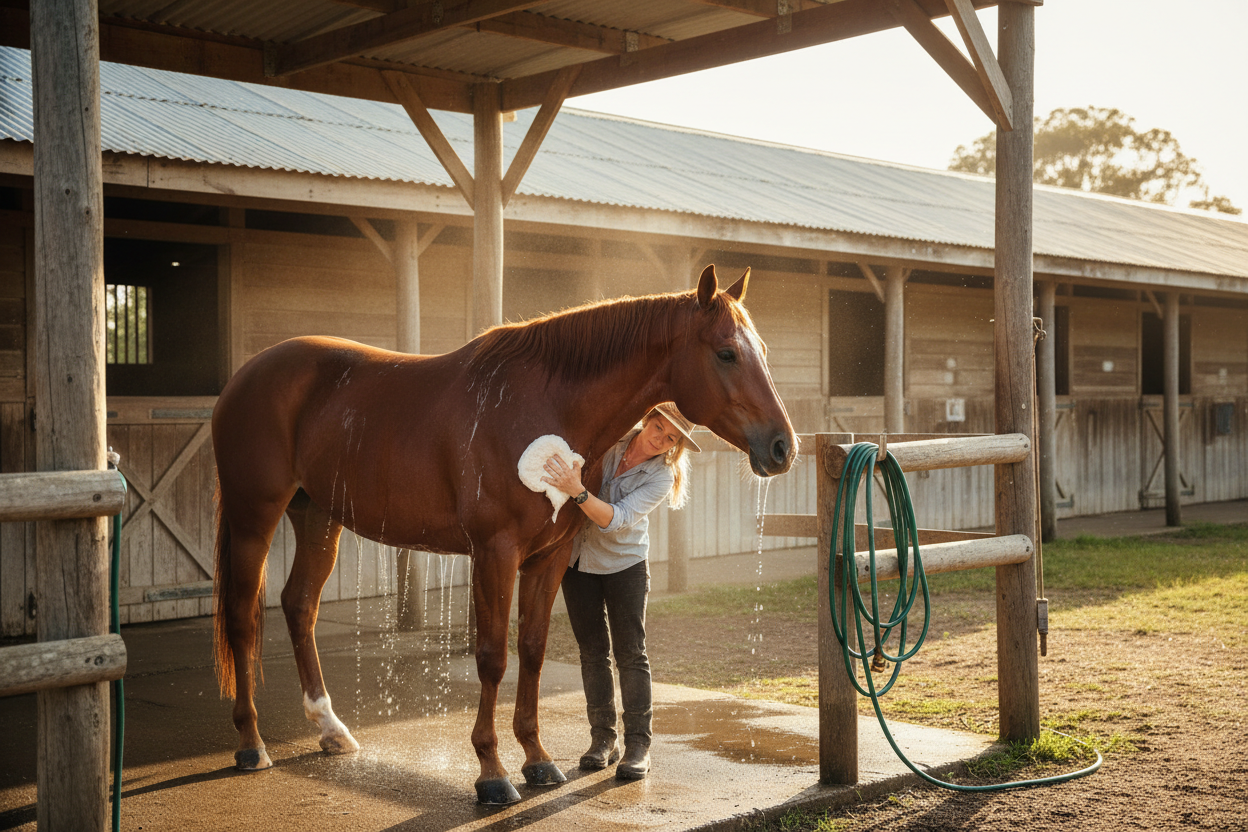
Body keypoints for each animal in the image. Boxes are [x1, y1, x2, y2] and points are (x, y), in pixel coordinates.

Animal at [211, 264, 797, 804]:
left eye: (764, 350)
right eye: (726, 353)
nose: (782, 447)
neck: (543, 407)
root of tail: (246, 375)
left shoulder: (548, 559)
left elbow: (531, 651)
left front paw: (536, 759)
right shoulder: (494, 554)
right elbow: (493, 657)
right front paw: (491, 773)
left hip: (317, 516)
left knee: (299, 604)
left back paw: (331, 730)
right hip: (253, 515)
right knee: (242, 613)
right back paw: (251, 745)